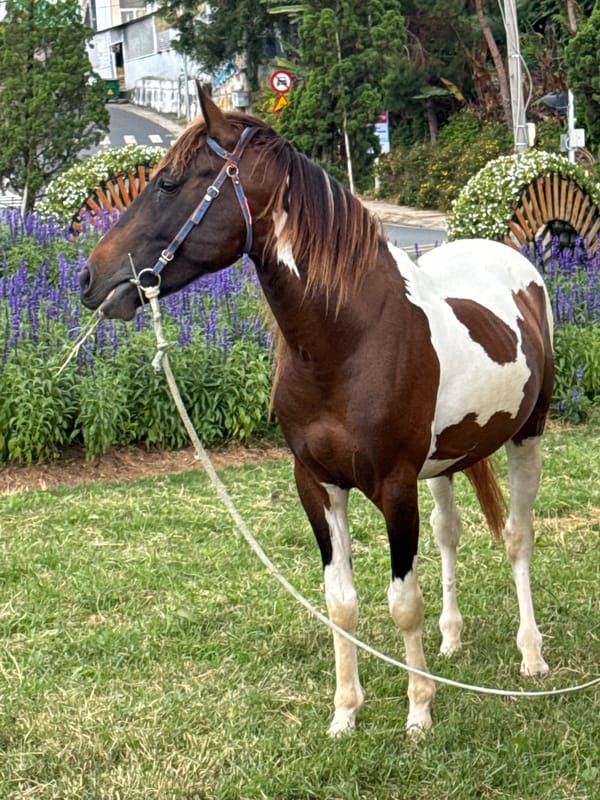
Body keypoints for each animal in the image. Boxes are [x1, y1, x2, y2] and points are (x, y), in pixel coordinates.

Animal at [80, 87, 554, 736]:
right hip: (445, 462)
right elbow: (341, 602)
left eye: (169, 183)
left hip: (526, 438)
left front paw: (418, 712)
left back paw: (531, 655)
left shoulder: (394, 486)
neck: (349, 340)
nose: (89, 277)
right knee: (449, 534)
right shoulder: (317, 484)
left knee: (517, 537)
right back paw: (452, 641)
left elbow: (402, 602)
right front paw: (345, 713)